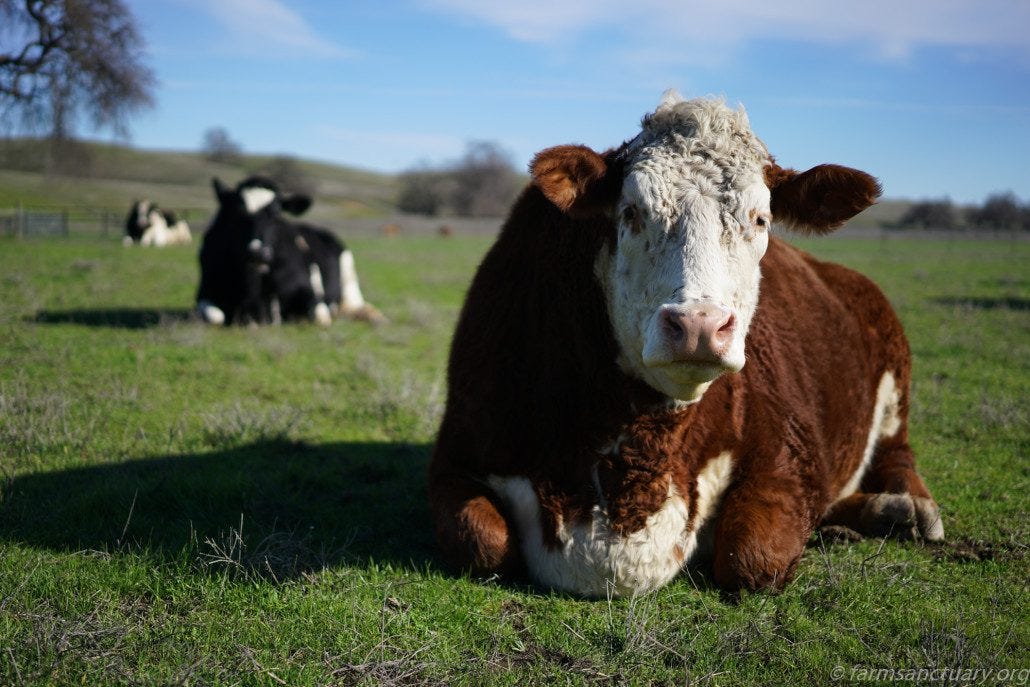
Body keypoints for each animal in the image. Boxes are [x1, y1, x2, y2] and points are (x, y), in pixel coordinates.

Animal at [194, 177, 385, 327]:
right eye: (238, 213)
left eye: (276, 214)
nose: (257, 253)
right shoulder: (204, 293)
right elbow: (215, 317)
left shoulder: (312, 296)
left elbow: (319, 317)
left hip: (349, 279)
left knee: (353, 305)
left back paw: (373, 316)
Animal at [430, 91, 943, 597]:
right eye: (631, 213)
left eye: (761, 219)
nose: (699, 325)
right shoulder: (458, 450)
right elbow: (482, 539)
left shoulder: (792, 454)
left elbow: (753, 555)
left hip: (895, 370)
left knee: (897, 449)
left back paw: (907, 509)